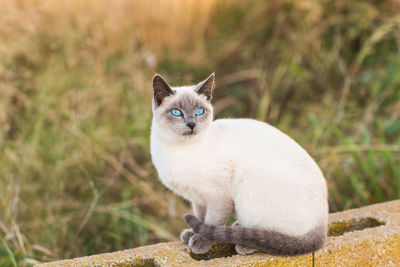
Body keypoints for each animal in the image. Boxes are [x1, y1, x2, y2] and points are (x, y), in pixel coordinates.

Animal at [150, 73, 328, 255]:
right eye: (176, 112)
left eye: (199, 111)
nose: (192, 124)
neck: (180, 150)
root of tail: (322, 224)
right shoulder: (198, 198)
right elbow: (201, 218)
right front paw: (191, 234)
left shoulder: (217, 196)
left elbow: (211, 222)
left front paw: (200, 242)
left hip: (249, 192)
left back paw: (245, 243)